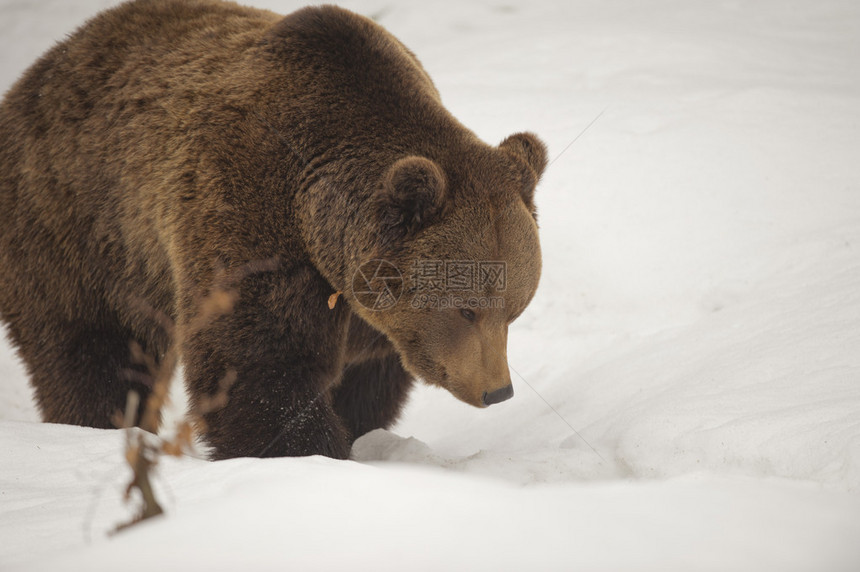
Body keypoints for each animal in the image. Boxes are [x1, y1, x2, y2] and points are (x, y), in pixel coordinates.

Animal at [0, 0, 548, 458]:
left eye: (515, 310)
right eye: (466, 309)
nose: (497, 390)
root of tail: (37, 72)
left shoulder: (373, 318)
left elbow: (367, 379)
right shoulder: (250, 211)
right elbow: (260, 362)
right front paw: (307, 451)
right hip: (77, 224)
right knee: (92, 351)